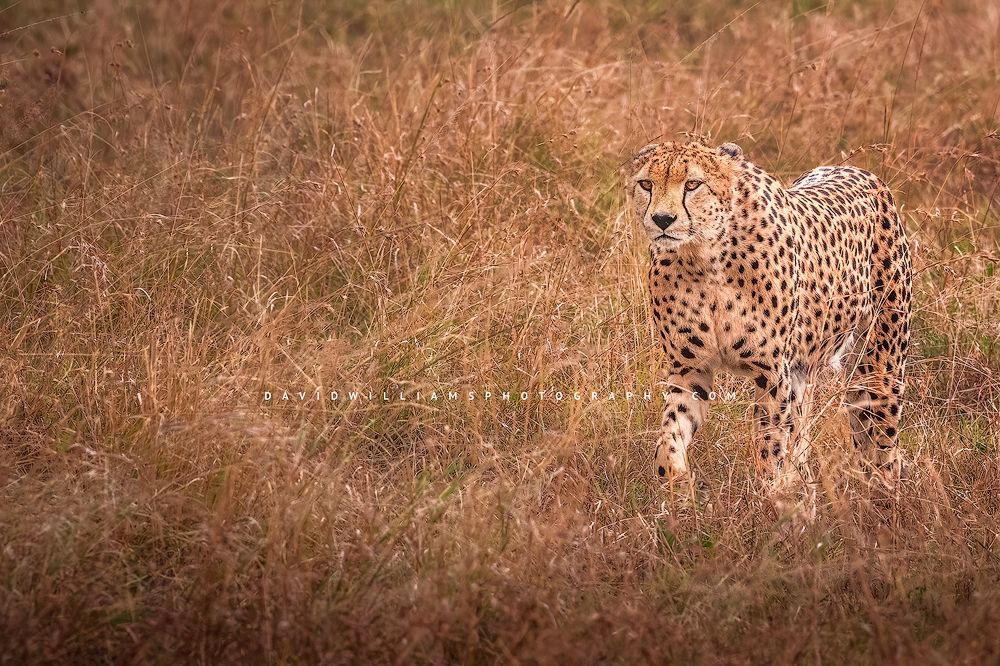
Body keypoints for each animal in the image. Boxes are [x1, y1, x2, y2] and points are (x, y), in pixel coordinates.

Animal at [628, 139, 912, 496]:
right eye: (646, 184)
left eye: (693, 184)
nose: (662, 219)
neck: (704, 256)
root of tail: (857, 170)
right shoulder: (690, 368)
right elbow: (669, 438)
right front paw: (680, 485)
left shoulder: (772, 372)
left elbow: (770, 442)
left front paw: (772, 497)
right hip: (807, 371)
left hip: (878, 365)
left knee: (882, 444)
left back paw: (885, 496)